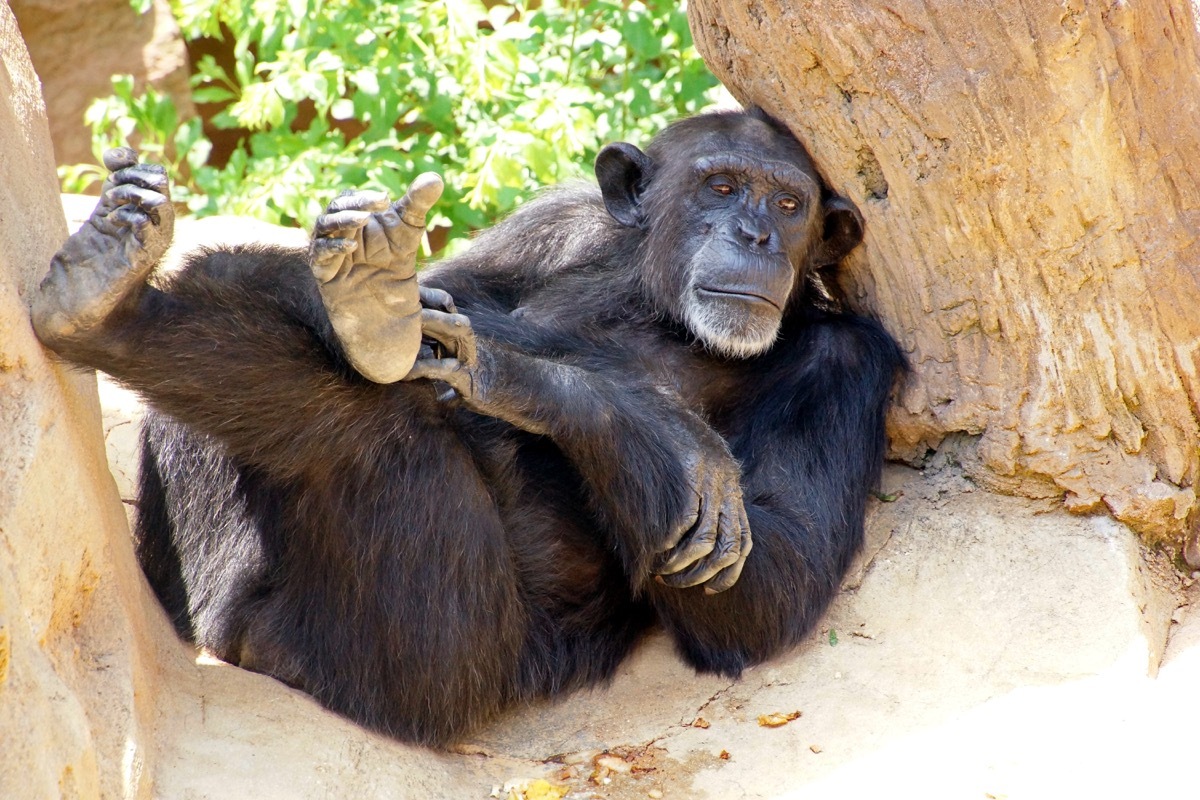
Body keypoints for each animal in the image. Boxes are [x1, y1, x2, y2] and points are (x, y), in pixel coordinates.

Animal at [30, 106, 902, 743]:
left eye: (788, 203)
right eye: (720, 186)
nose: (757, 234)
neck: (664, 313)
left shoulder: (847, 366)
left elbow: (772, 585)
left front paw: (537, 379)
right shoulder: (555, 223)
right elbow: (459, 287)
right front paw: (383, 285)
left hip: (433, 665)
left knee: (375, 424)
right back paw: (111, 297)